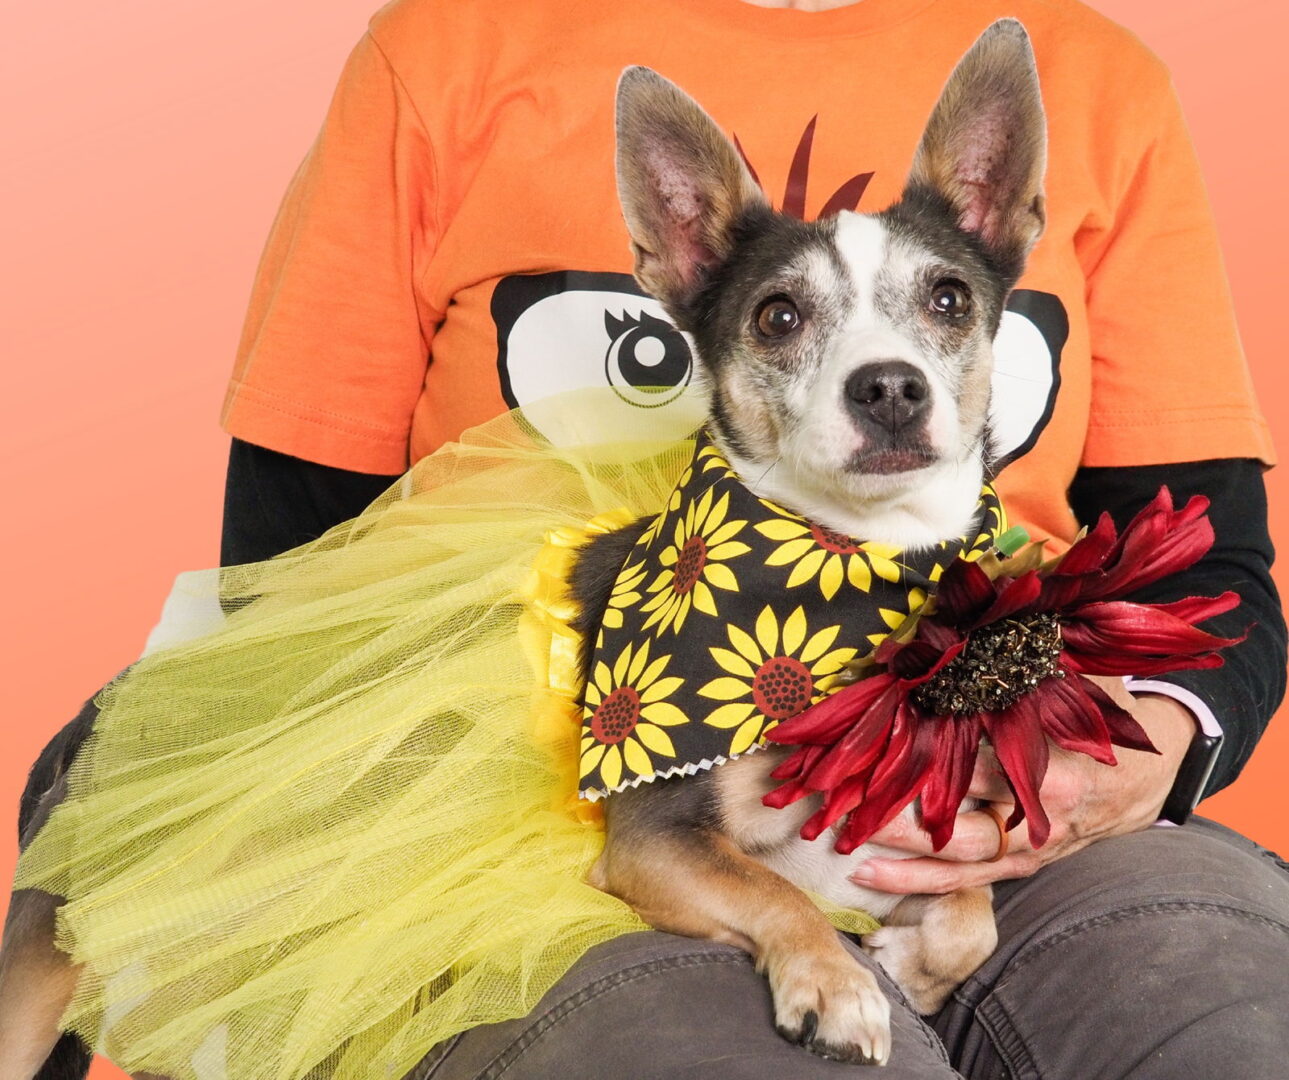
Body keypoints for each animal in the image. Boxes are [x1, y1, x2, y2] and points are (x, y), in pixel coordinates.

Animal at [568, 20, 1046, 1066]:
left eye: (949, 299)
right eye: (777, 316)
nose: (891, 386)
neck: (847, 560)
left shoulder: (921, 836)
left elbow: (974, 905)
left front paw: (916, 963)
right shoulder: (656, 839)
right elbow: (776, 890)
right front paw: (837, 985)